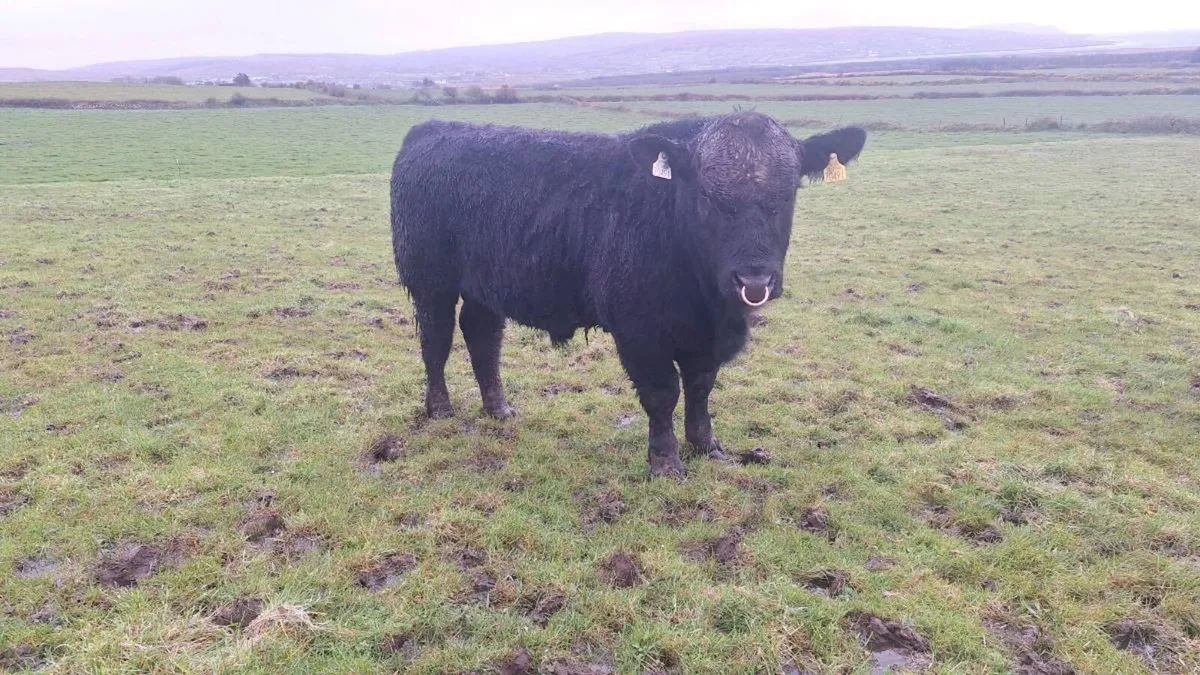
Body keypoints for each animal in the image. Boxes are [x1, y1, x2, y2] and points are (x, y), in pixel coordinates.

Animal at [391, 112, 866, 477]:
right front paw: (666, 462)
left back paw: (499, 408)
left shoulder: (704, 339)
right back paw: (440, 408)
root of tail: (433, 129)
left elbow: (701, 387)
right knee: (436, 341)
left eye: (788, 193)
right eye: (708, 196)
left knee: (482, 337)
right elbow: (662, 393)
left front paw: (706, 445)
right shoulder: (640, 332)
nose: (754, 279)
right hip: (430, 281)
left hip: (483, 287)